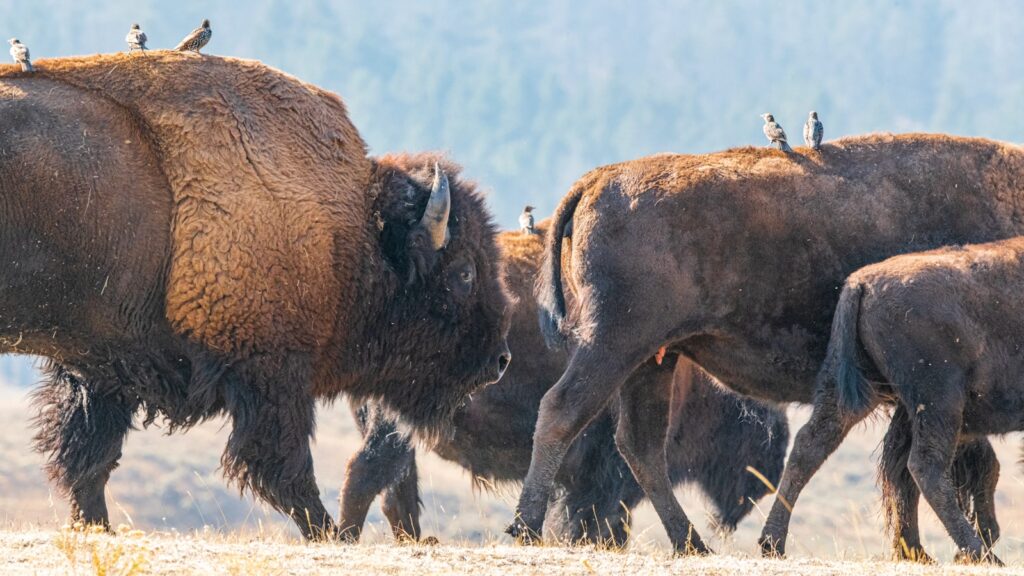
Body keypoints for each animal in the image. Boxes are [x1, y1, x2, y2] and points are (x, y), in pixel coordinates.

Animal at [0, 53, 509, 540]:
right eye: (464, 272)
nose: (500, 359)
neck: (351, 230)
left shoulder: (101, 366)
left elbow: (88, 458)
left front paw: (96, 526)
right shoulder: (272, 373)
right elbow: (284, 470)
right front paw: (329, 534)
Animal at [338, 224, 788, 544]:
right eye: (756, 430)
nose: (768, 475)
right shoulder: (602, 478)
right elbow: (591, 521)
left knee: (394, 485)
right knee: (366, 472)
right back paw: (346, 537)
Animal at [776, 237, 1024, 563]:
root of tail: (860, 282)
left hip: (859, 392)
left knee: (810, 446)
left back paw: (771, 544)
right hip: (940, 401)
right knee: (925, 466)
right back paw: (978, 553)